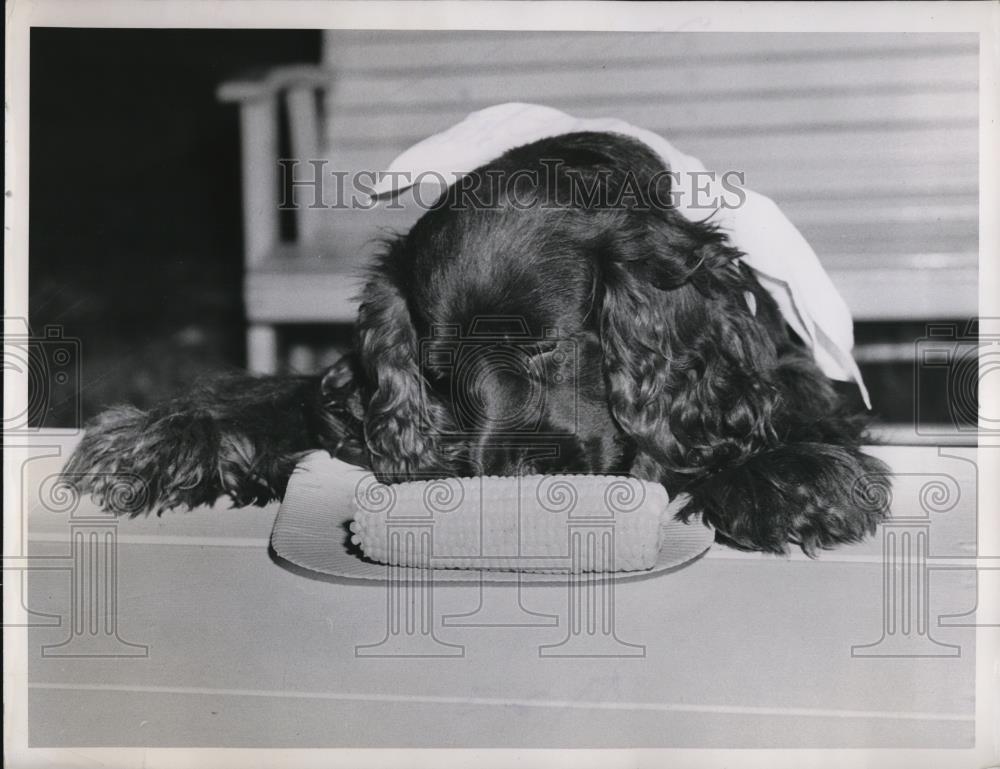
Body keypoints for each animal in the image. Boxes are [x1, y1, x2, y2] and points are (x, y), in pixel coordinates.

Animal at [64, 130, 892, 552]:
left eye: (544, 346)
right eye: (437, 372)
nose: (515, 476)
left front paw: (781, 474)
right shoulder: (348, 392)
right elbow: (277, 396)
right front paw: (158, 435)